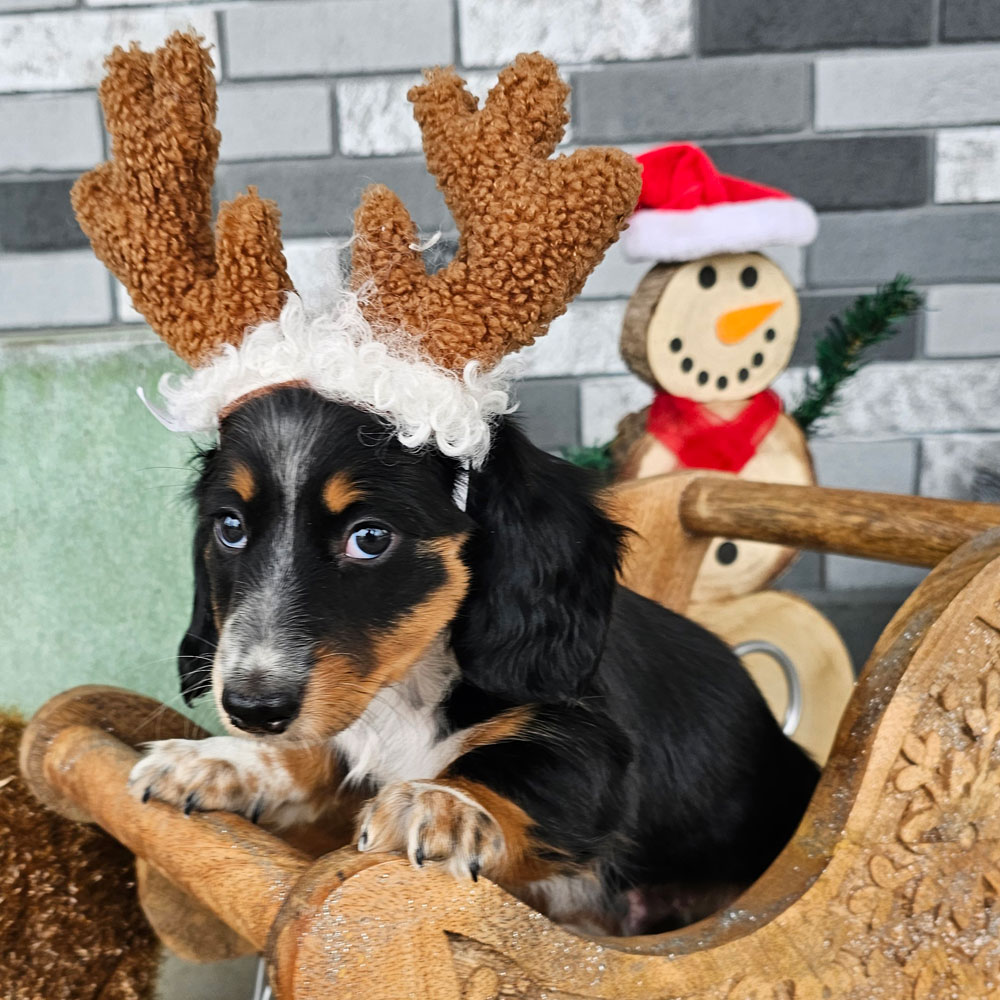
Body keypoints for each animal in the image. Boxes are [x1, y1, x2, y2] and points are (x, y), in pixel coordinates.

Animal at [131, 386, 820, 932]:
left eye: (370, 538)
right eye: (230, 528)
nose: (251, 709)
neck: (409, 688)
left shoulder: (587, 741)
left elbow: (513, 770)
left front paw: (439, 802)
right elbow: (319, 748)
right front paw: (217, 759)